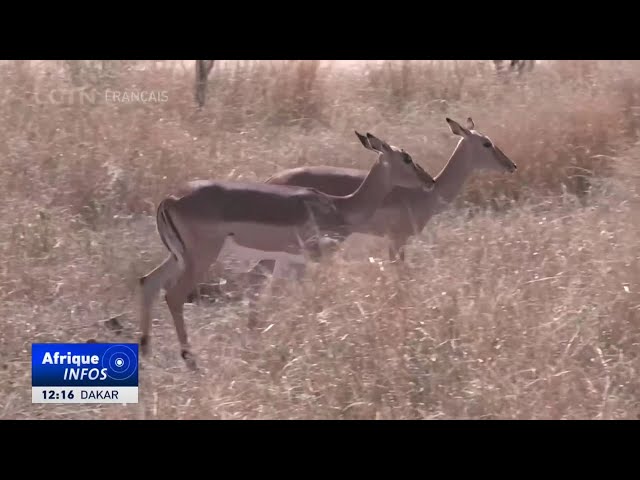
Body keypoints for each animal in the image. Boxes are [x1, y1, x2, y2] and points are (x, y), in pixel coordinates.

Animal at [139, 133, 436, 370]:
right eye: (407, 158)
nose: (430, 180)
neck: (339, 206)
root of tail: (169, 199)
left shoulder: (295, 262)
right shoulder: (316, 258)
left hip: (178, 257)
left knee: (147, 281)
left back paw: (145, 350)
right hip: (200, 258)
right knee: (173, 295)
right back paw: (190, 360)